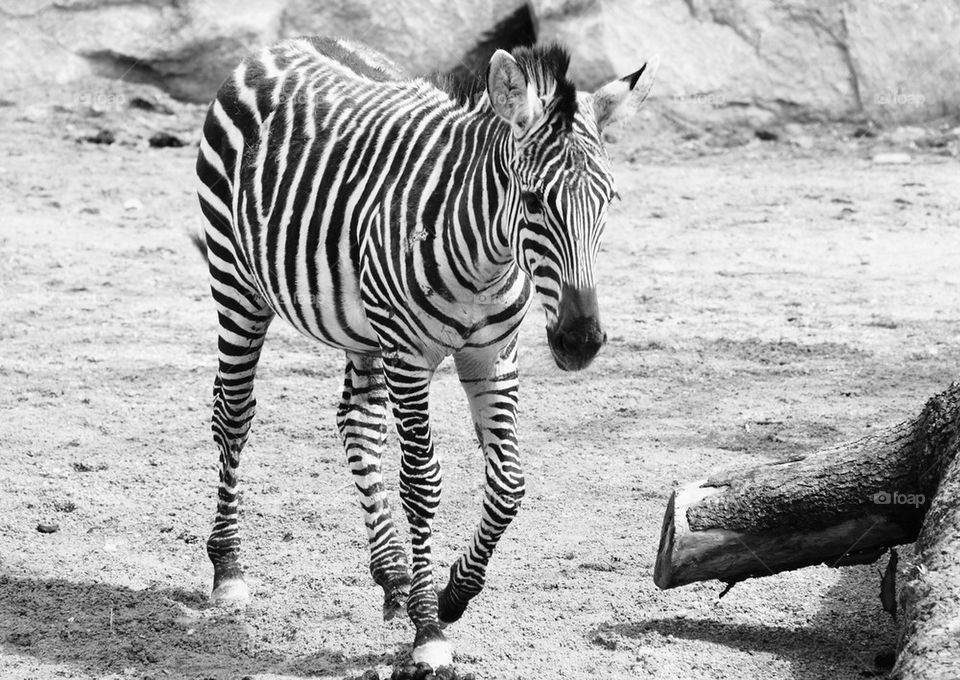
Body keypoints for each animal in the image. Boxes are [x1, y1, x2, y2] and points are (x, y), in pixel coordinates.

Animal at [194, 36, 658, 670]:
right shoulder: (410, 359)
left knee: (357, 424)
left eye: (609, 199)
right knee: (233, 414)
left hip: (364, 329)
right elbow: (422, 483)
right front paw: (429, 629)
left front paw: (451, 594)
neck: (488, 260)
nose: (580, 342)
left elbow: (509, 485)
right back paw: (230, 569)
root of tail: (289, 43)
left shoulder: (494, 358)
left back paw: (392, 576)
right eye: (534, 200)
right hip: (237, 284)